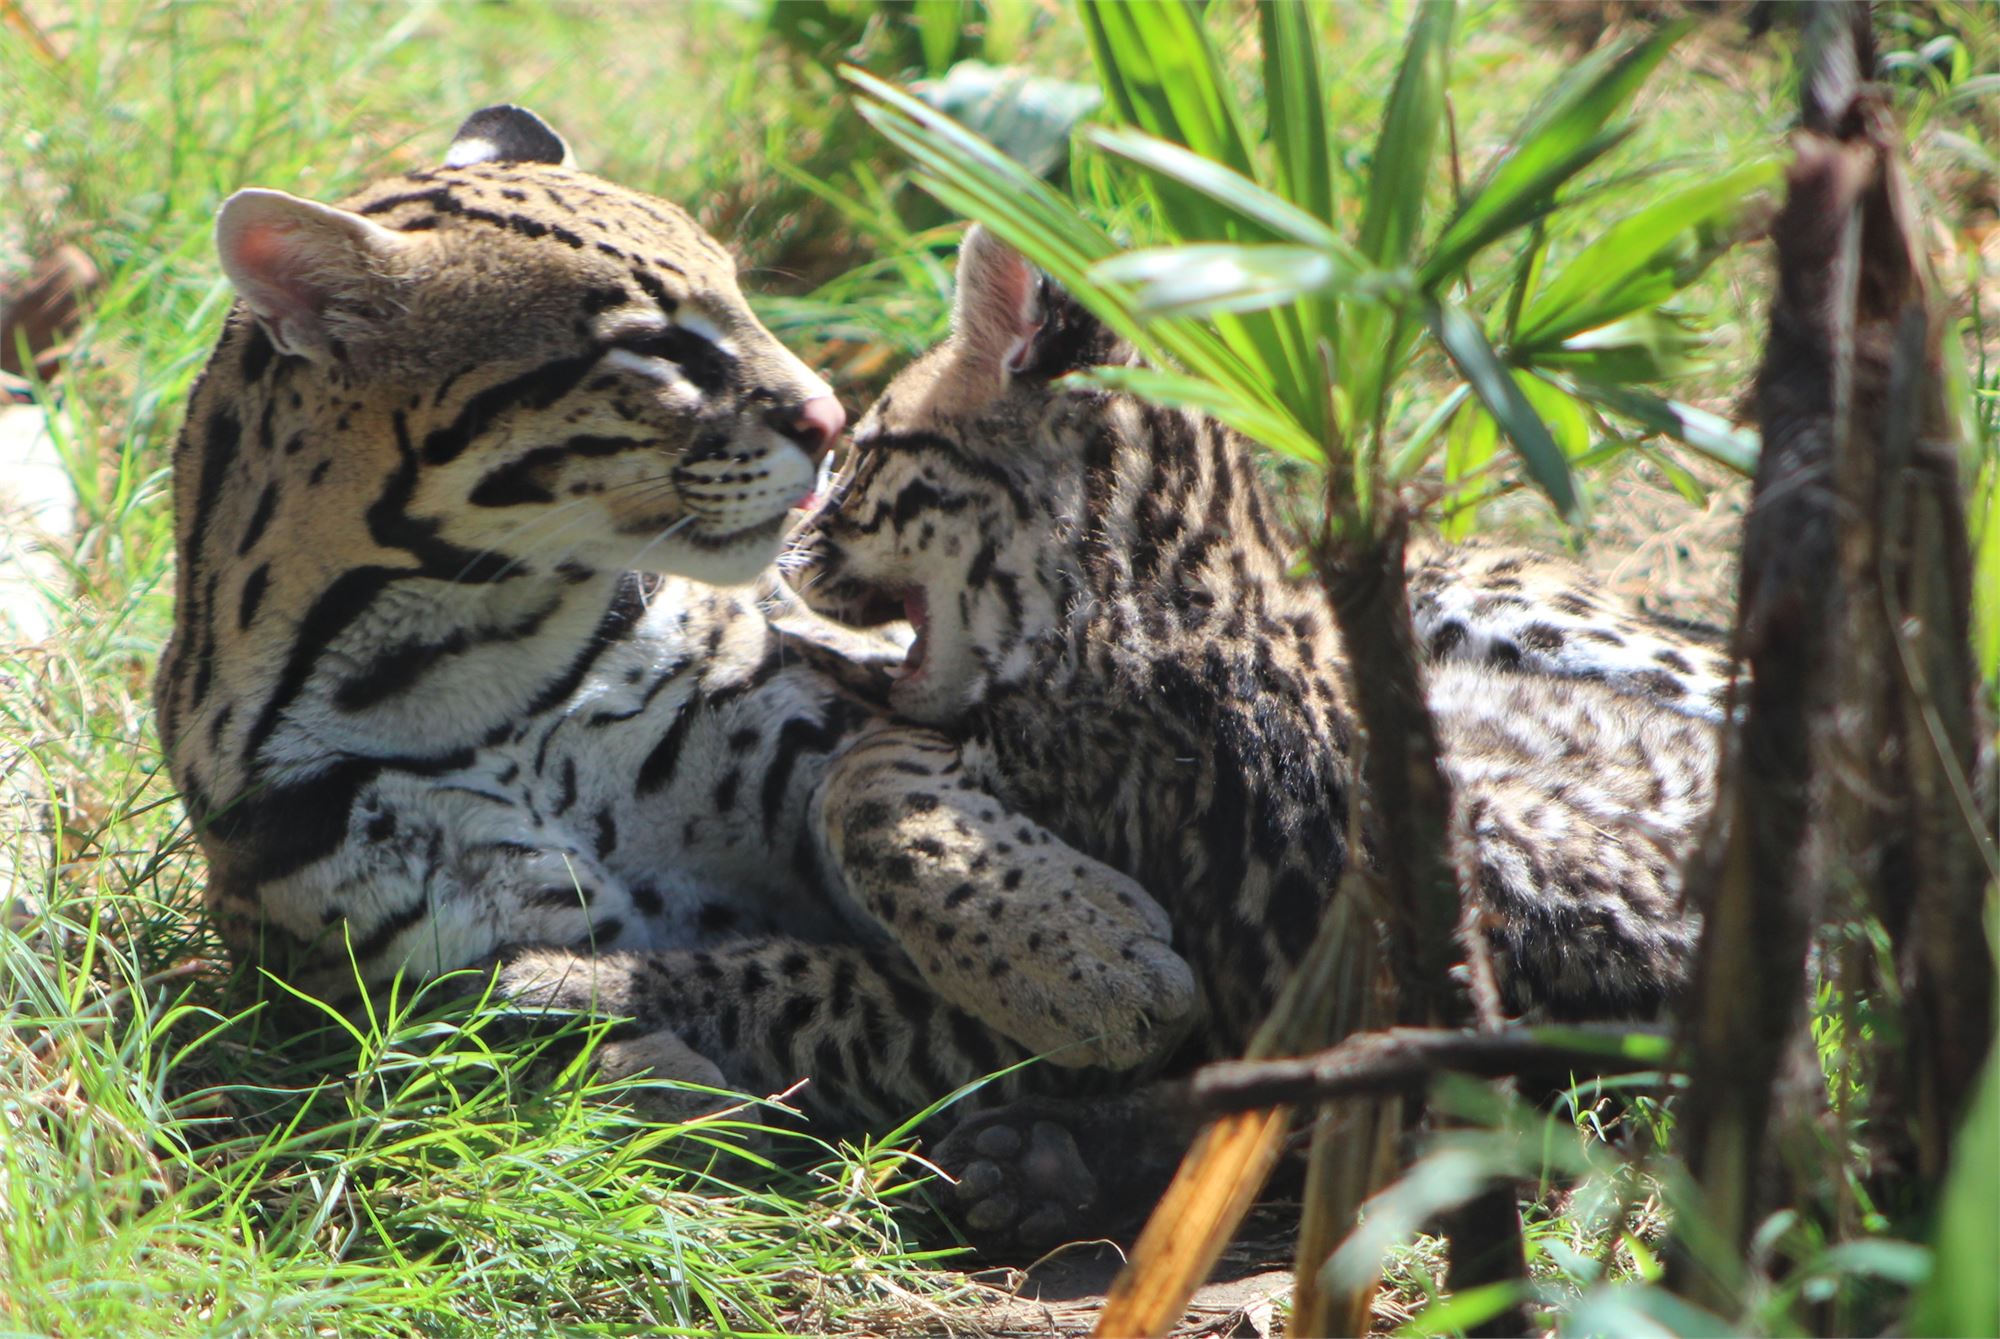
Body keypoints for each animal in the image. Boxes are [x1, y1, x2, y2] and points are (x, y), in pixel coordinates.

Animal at [160, 107, 1200, 1135]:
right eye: (652, 345)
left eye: (741, 292)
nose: (832, 418)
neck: (476, 669)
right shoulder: (402, 973)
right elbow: (510, 1057)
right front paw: (671, 1096)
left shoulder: (839, 714)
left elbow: (872, 797)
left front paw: (1081, 954)